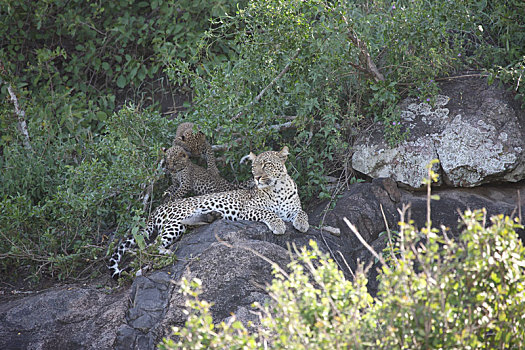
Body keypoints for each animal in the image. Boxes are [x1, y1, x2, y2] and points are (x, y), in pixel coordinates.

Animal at [109, 146, 308, 278]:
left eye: (266, 165)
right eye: (254, 167)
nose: (257, 177)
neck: (278, 189)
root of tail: (157, 208)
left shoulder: (294, 207)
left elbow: (302, 212)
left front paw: (302, 224)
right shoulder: (247, 209)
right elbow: (268, 213)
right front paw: (278, 225)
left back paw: (212, 216)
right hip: (176, 221)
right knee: (148, 248)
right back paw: (168, 253)